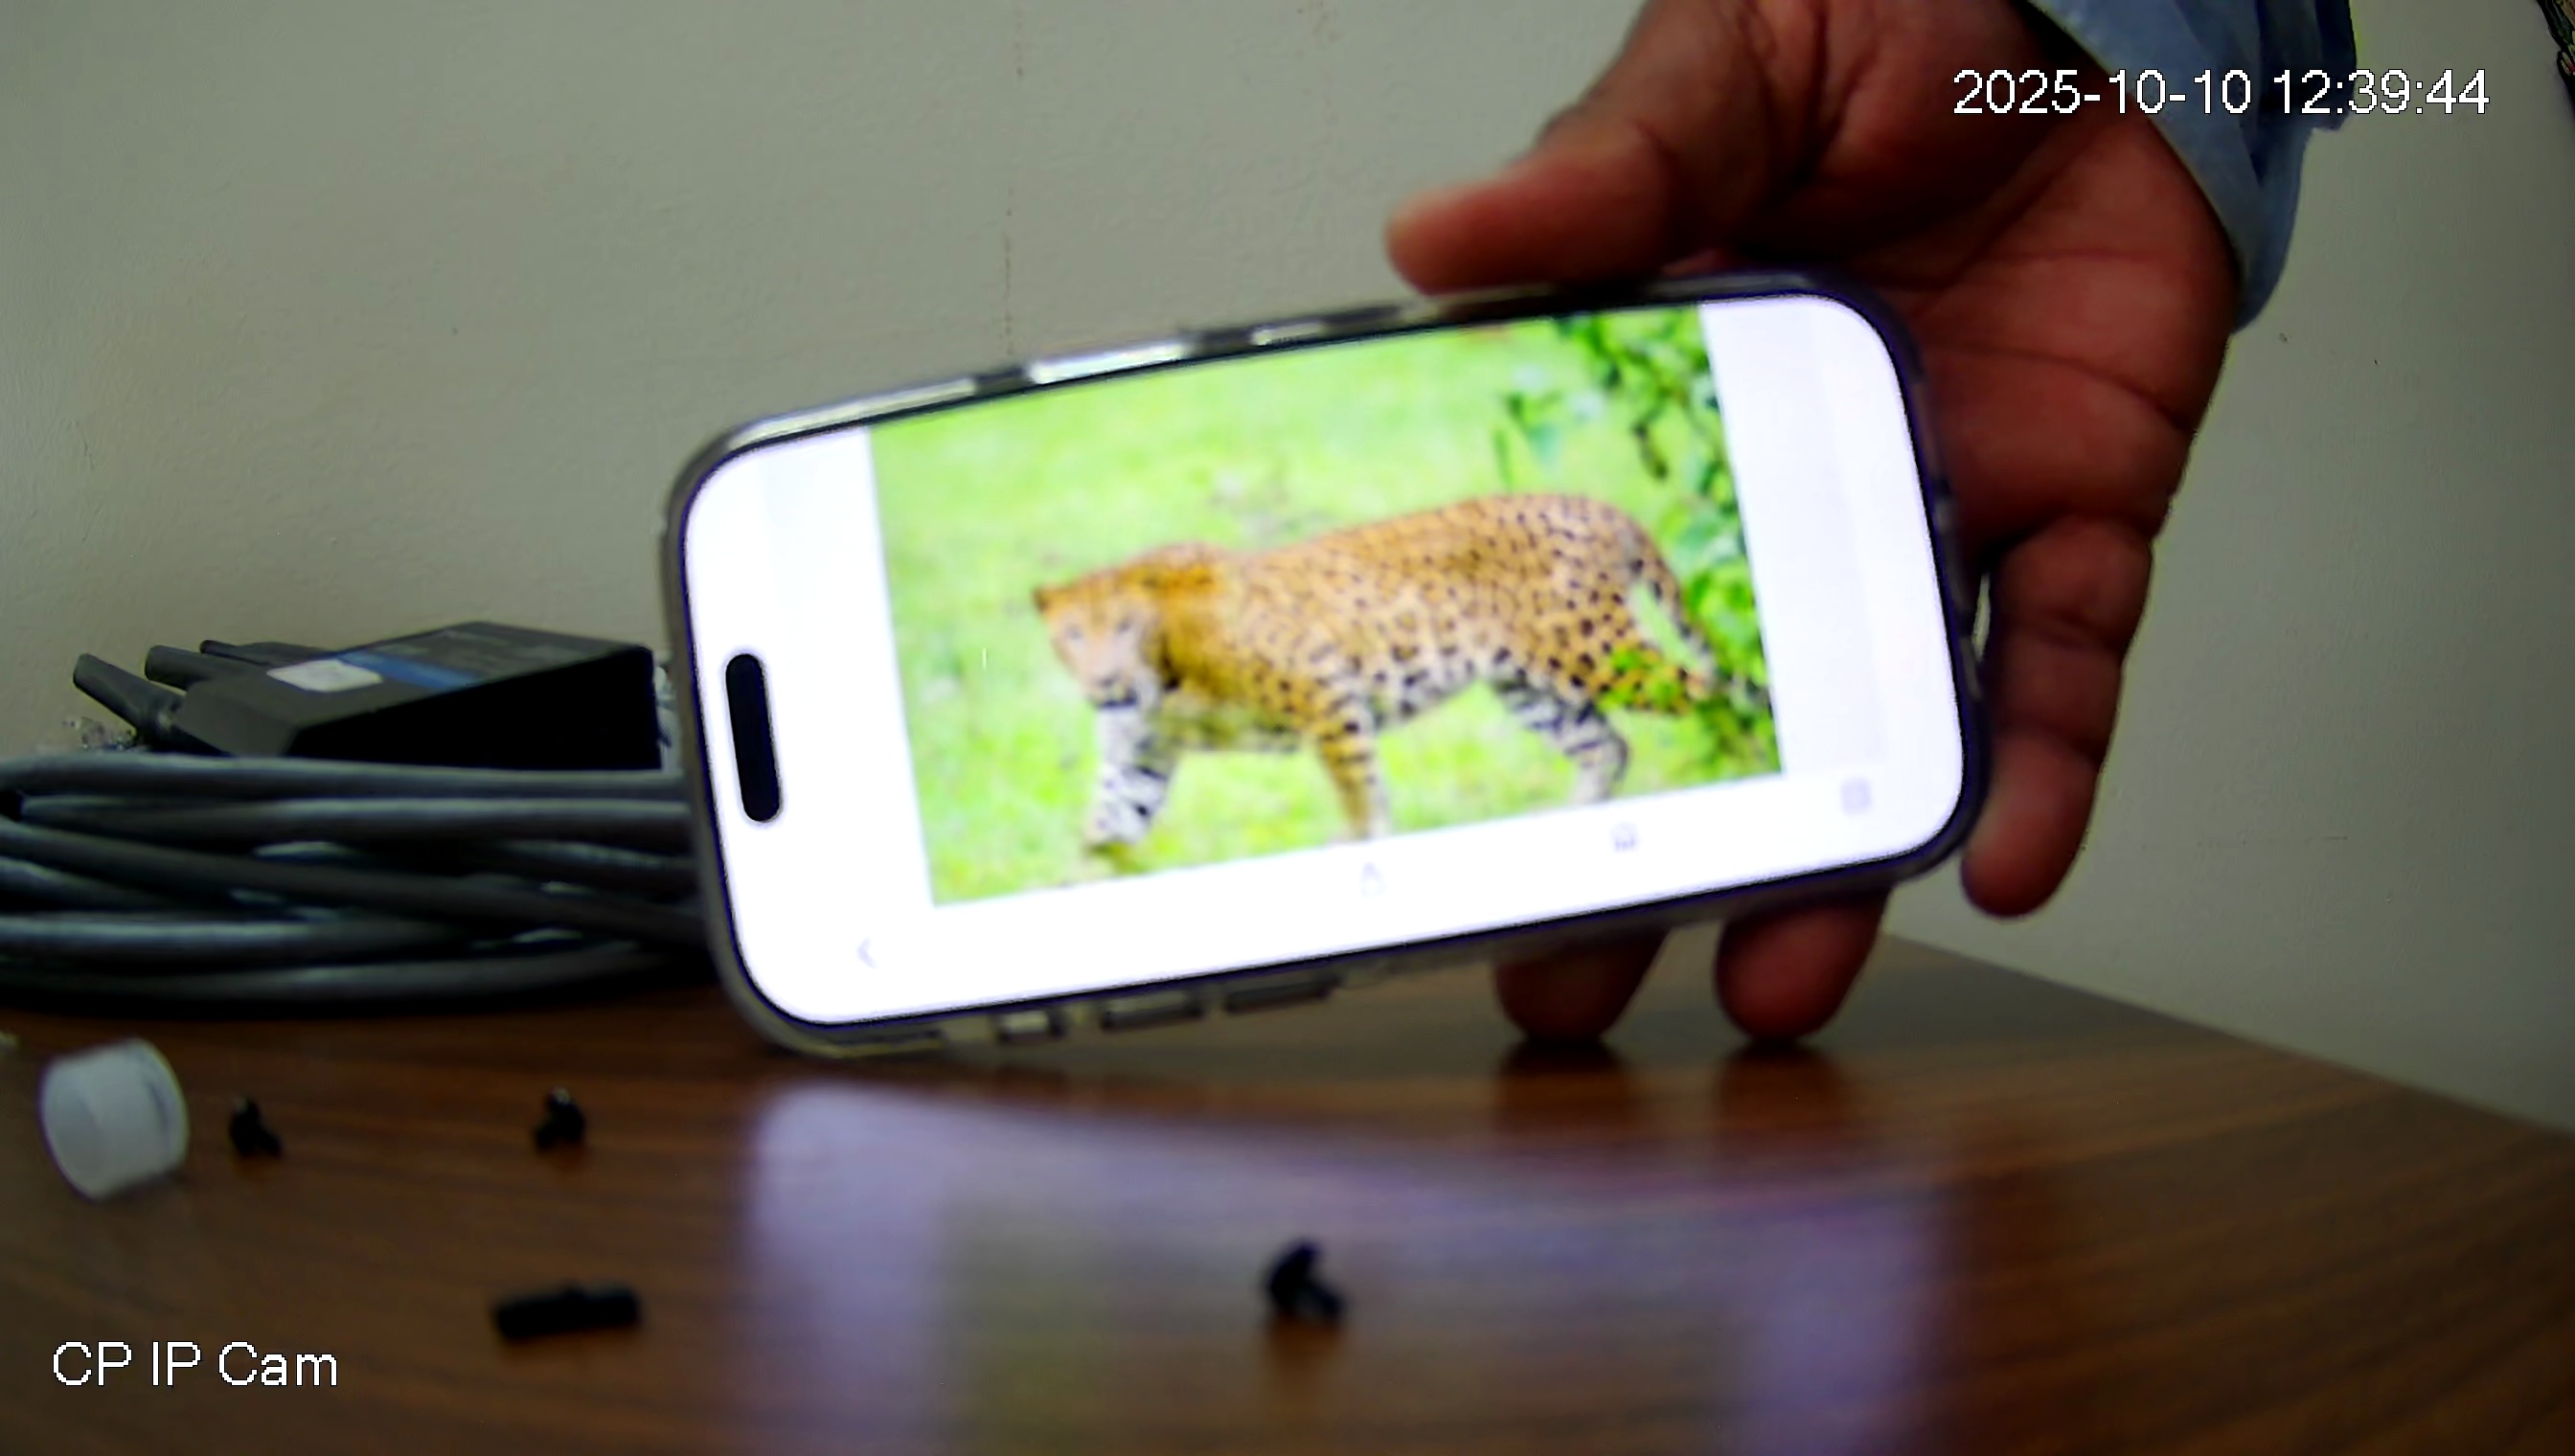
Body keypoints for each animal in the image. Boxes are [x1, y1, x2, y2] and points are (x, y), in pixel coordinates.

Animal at [1030, 492, 1743, 854]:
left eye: (1125, 628)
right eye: (1075, 637)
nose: (1105, 684)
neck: (1161, 675)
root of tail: (1596, 506)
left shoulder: (1325, 692)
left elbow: (1359, 789)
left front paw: (1358, 843)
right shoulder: (1138, 759)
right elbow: (1103, 831)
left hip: (1597, 654)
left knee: (1717, 690)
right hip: (1530, 687)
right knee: (1606, 745)